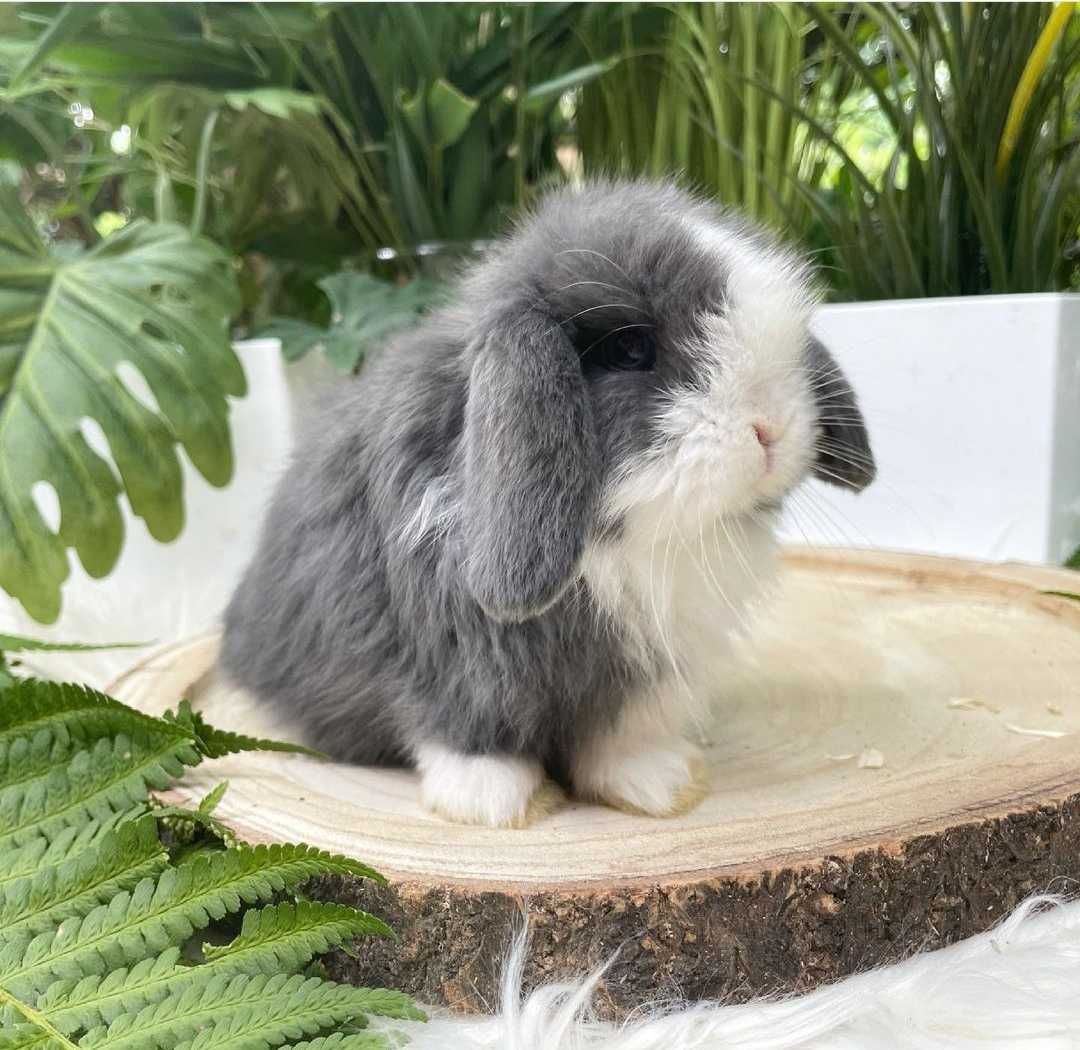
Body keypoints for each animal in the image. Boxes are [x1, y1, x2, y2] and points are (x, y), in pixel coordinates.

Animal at [217, 180, 868, 833]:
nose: (772, 429)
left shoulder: (644, 672)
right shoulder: (453, 657)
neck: (624, 545)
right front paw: (494, 802)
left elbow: (620, 736)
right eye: (630, 348)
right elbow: (466, 729)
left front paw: (661, 784)